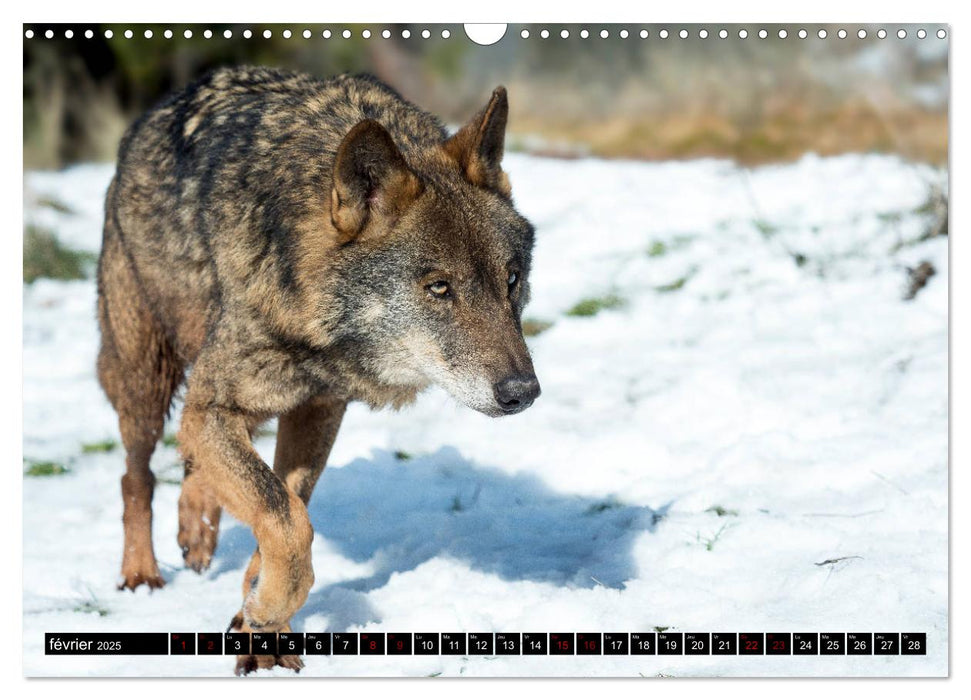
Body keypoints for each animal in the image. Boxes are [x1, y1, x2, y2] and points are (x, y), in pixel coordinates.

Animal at [94, 67, 540, 672]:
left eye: (511, 279)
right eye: (438, 288)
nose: (524, 392)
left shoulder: (318, 409)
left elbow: (286, 510)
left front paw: (260, 623)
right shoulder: (216, 405)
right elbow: (285, 521)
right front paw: (266, 610)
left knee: (194, 466)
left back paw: (198, 529)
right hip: (146, 381)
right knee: (135, 477)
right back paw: (141, 573)